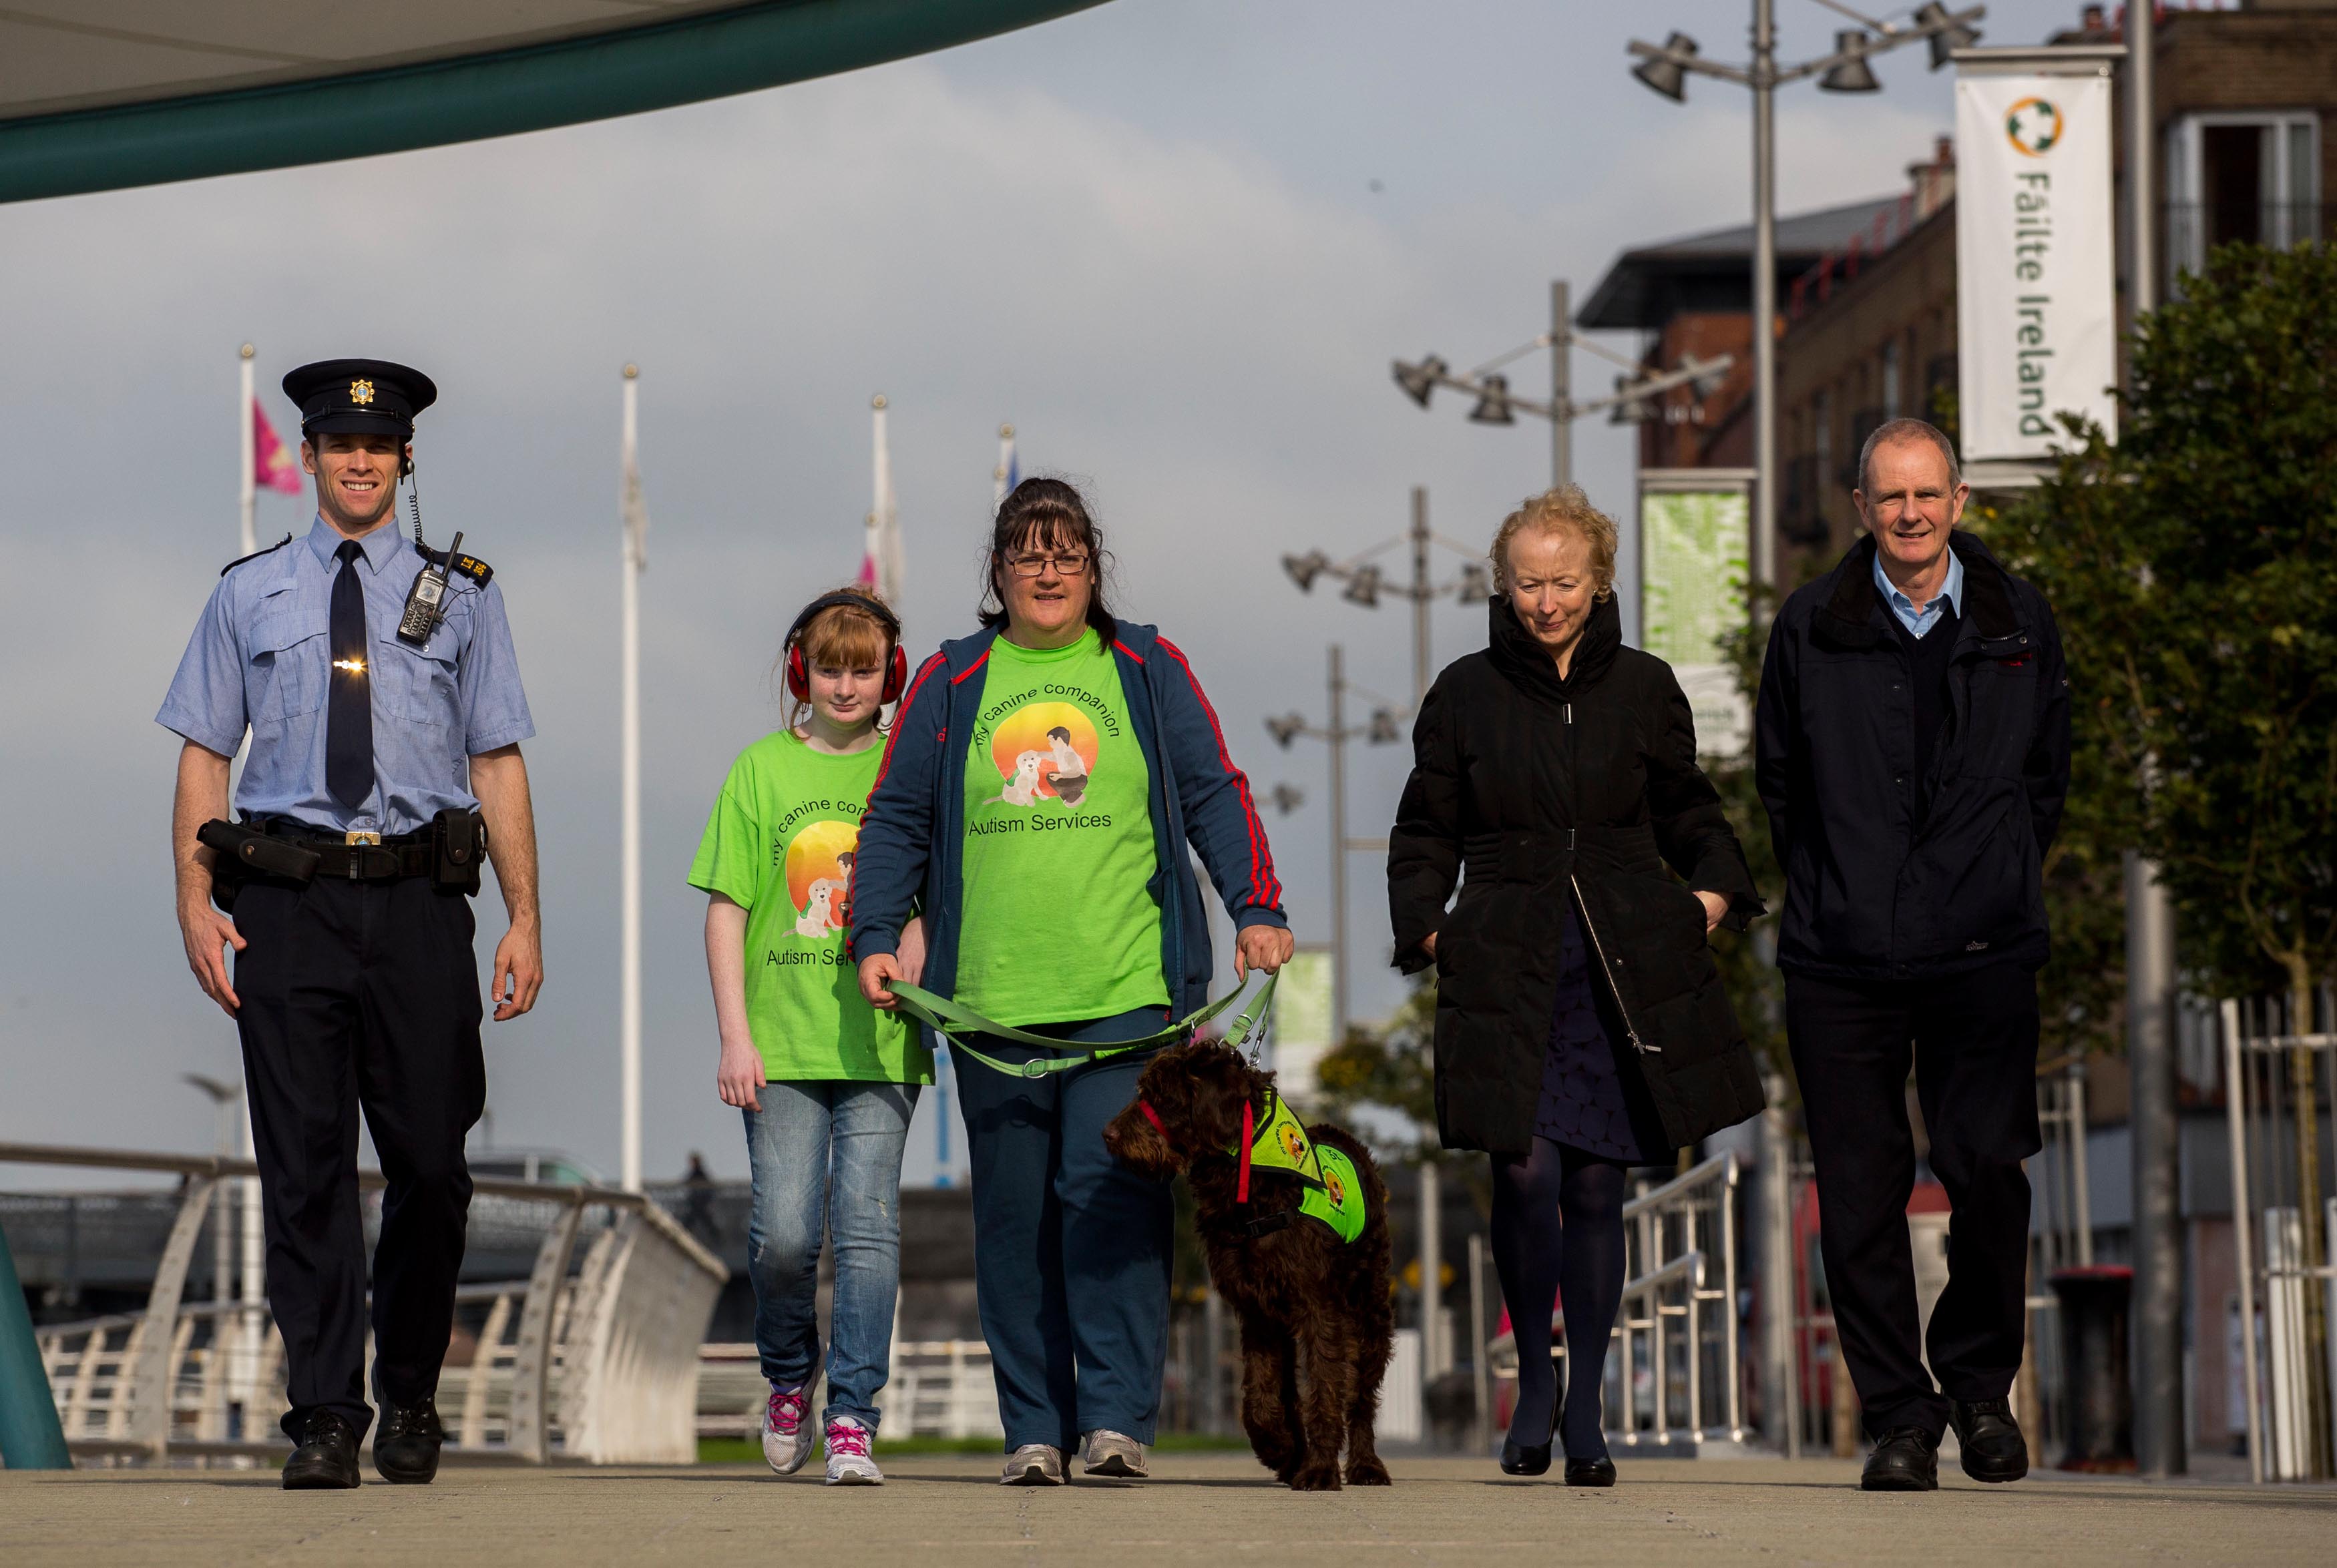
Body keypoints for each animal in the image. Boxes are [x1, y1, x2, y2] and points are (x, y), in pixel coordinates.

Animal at [1103, 1042, 1393, 1495]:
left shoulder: (1321, 1310)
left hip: (1370, 1309)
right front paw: (1278, 1447)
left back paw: (1365, 1464)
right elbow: (1259, 1395)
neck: (1253, 1184)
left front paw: (1320, 1470)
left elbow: (1327, 1391)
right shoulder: (1256, 1309)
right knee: (1289, 1389)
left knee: (1361, 1395)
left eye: (1163, 1096)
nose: (1109, 1135)